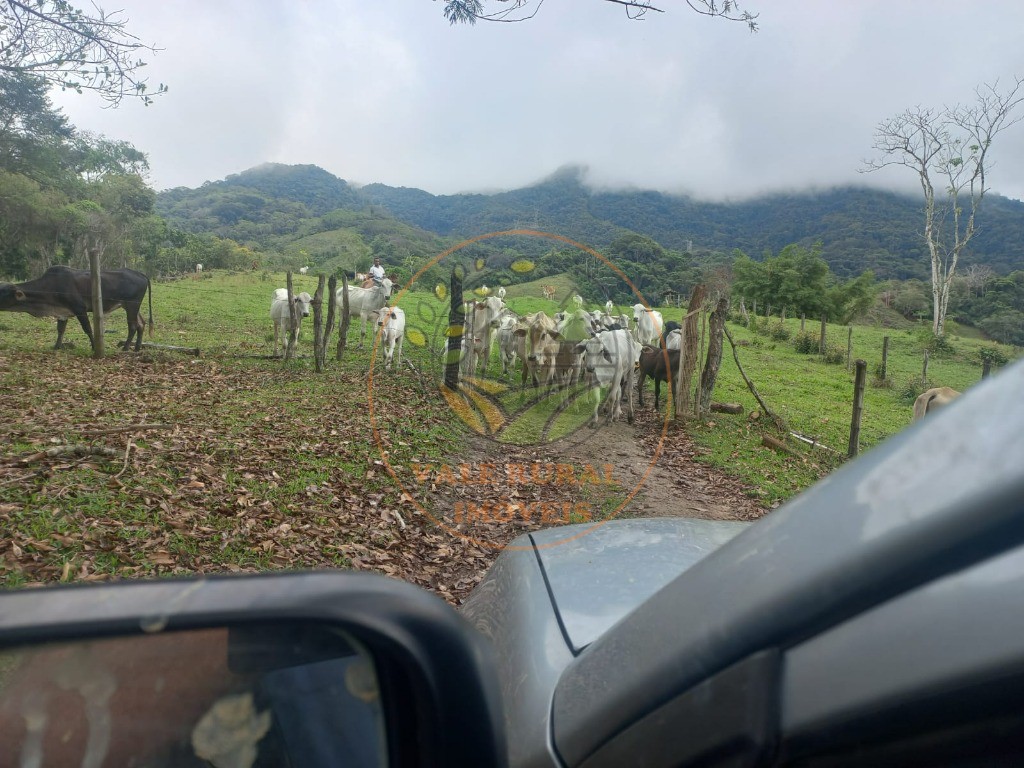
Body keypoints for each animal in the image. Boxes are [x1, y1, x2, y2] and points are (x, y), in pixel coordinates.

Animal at [0, 268, 153, 352]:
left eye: (4, 294)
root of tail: (141, 274)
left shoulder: (80, 308)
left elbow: (88, 329)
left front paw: (94, 347)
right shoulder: (62, 313)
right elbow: (60, 330)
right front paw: (56, 346)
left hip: (132, 305)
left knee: (133, 326)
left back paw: (126, 347)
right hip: (130, 306)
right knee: (141, 324)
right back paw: (137, 348)